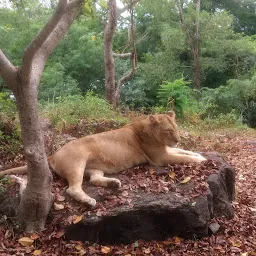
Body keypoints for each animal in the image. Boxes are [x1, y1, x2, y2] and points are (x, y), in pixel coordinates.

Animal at [0, 111, 204, 207]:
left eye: (176, 127)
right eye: (168, 130)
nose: (177, 138)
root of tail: (52, 154)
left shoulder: (167, 150)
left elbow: (185, 151)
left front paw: (198, 154)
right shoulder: (160, 157)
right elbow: (181, 158)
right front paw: (201, 161)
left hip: (94, 169)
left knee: (94, 179)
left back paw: (114, 183)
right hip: (77, 163)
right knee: (72, 189)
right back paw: (89, 201)